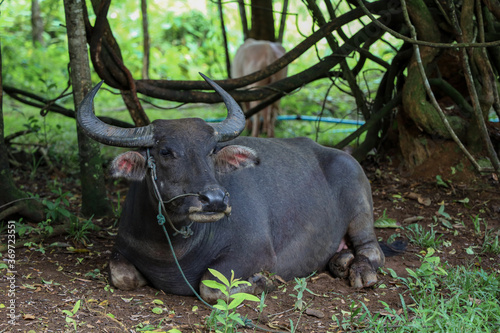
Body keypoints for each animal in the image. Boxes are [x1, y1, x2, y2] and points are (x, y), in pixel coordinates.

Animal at [76, 74, 384, 302]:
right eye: (165, 151)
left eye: (211, 150)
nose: (214, 200)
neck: (171, 247)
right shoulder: (122, 249)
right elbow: (123, 277)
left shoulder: (254, 252)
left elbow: (210, 286)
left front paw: (262, 282)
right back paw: (340, 260)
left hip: (360, 205)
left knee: (372, 250)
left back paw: (359, 271)